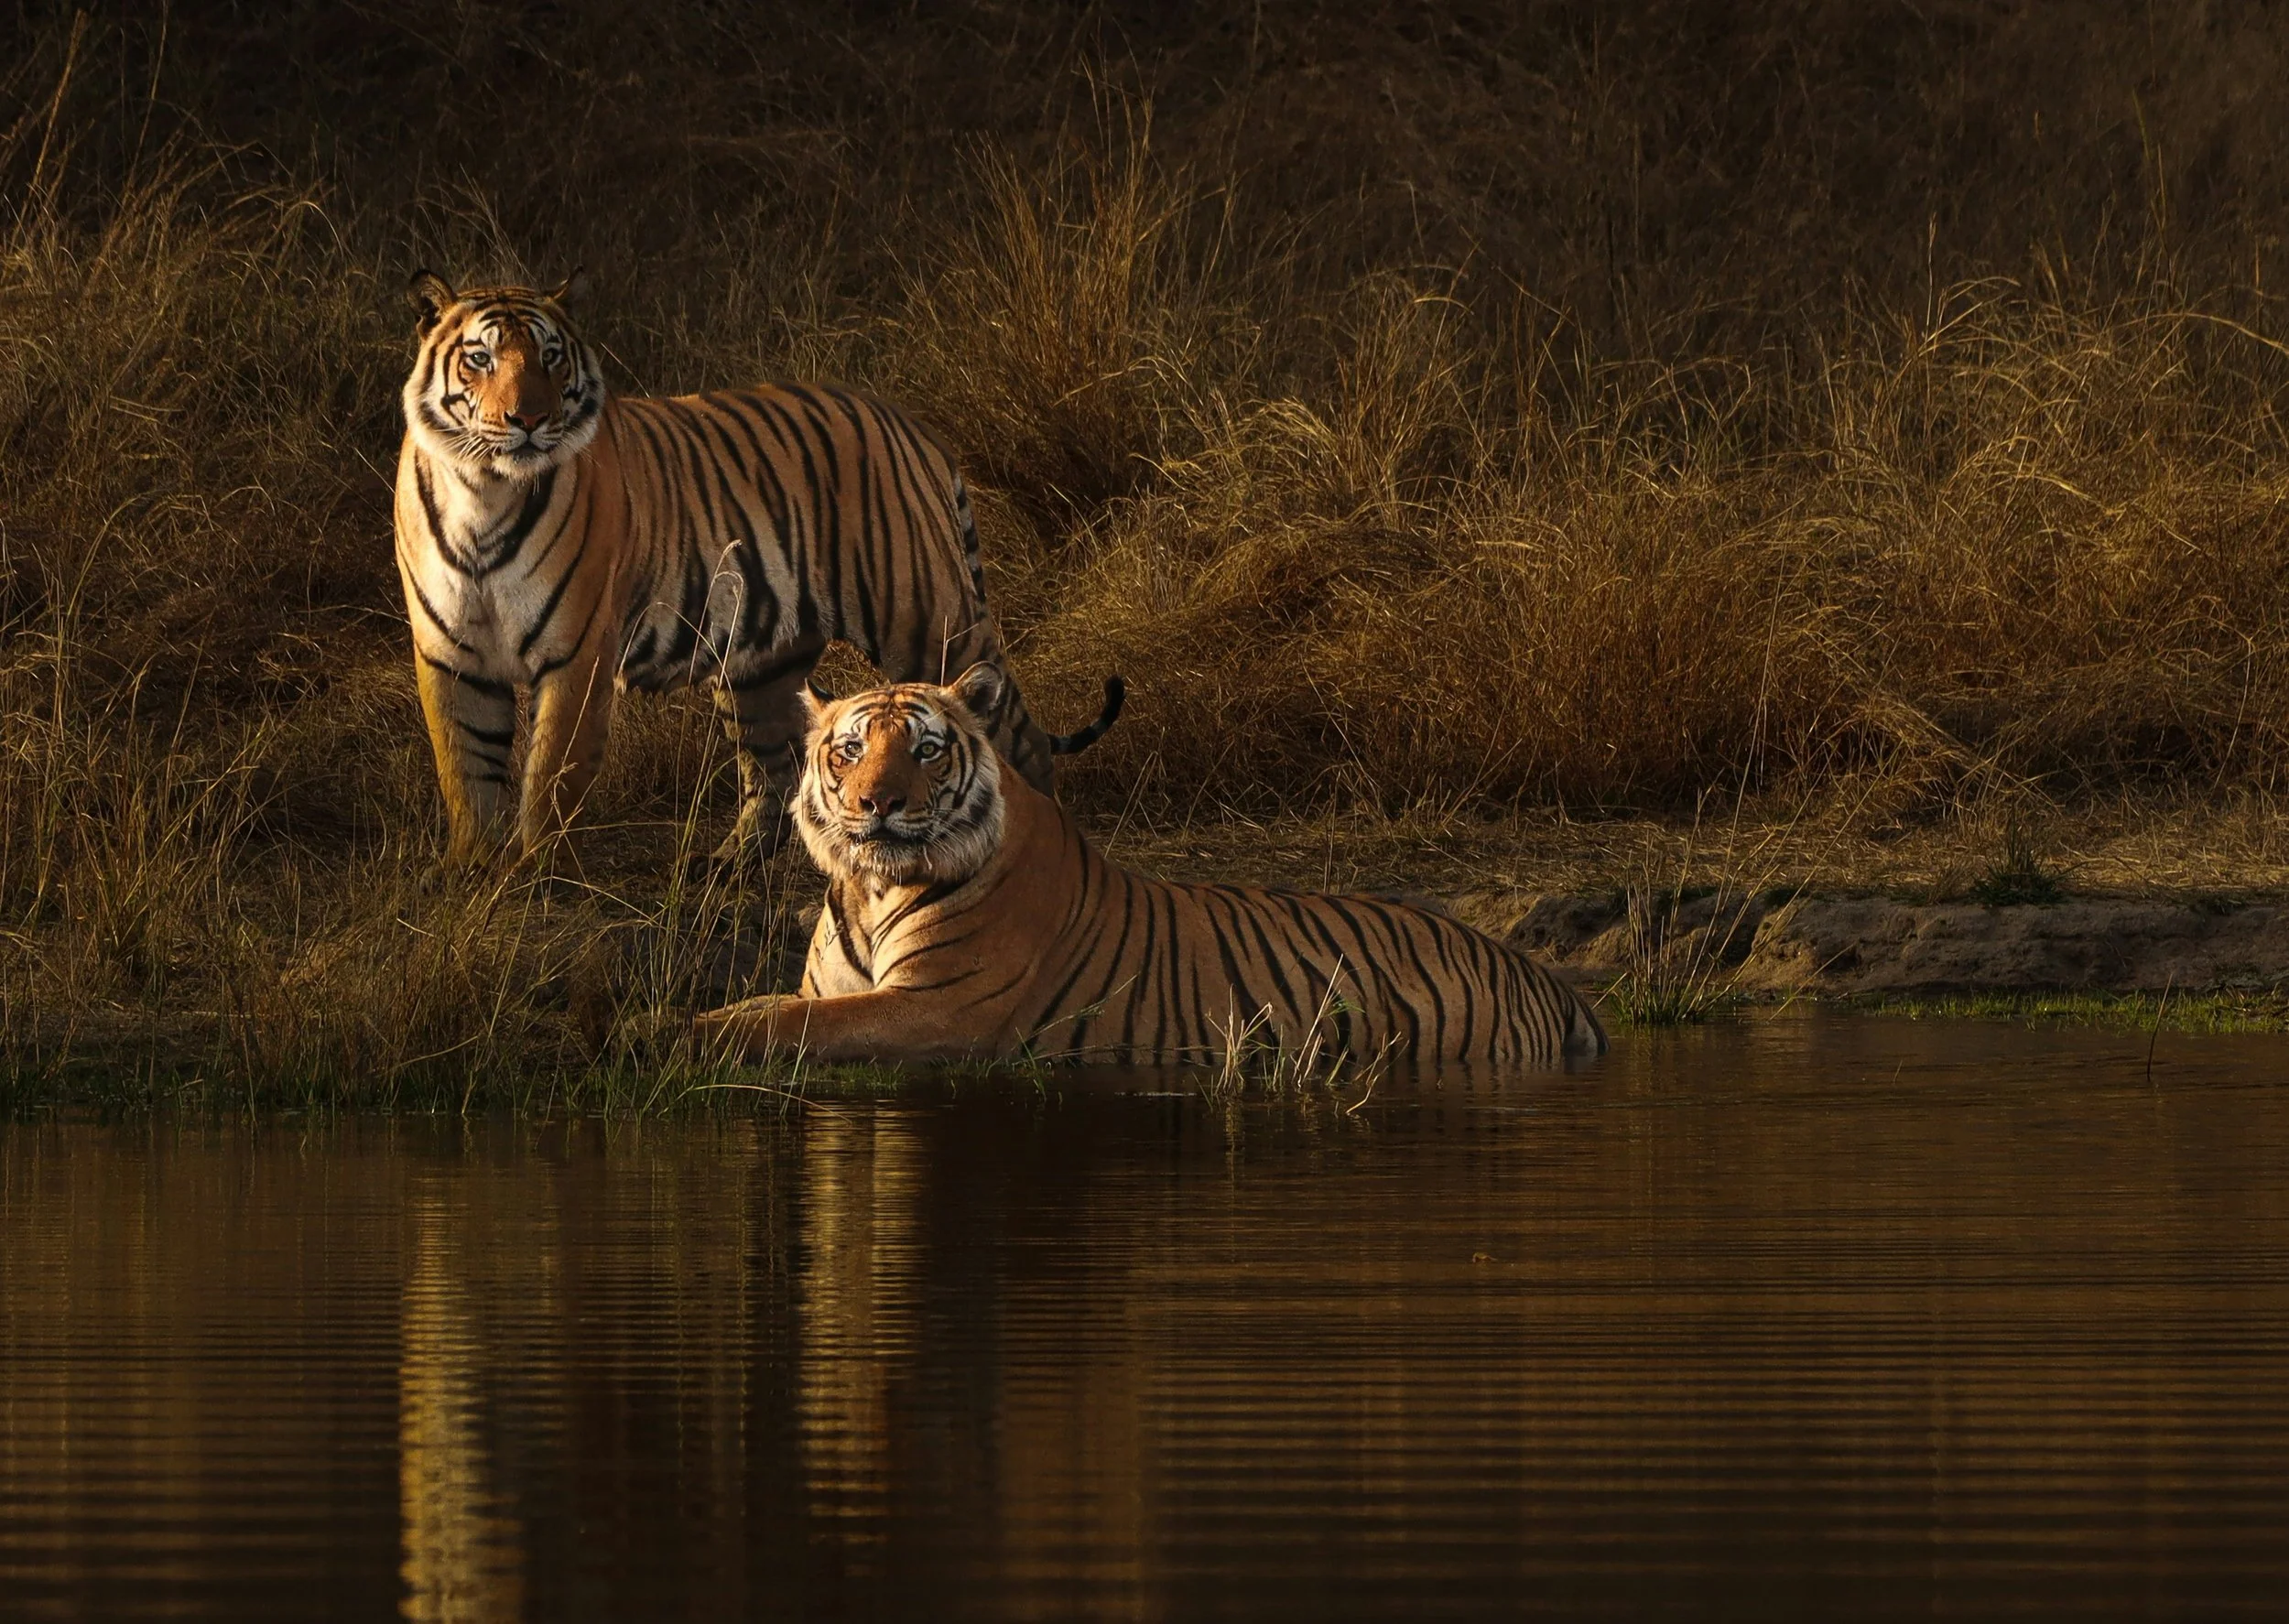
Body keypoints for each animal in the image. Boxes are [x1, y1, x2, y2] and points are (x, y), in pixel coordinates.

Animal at [393, 270, 1119, 872]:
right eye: (480, 357)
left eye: (551, 356)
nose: (528, 420)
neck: (484, 493)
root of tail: (909, 424)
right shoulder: (450, 654)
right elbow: (465, 767)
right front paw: (472, 871)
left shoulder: (576, 656)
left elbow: (550, 774)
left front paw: (534, 870)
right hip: (760, 663)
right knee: (776, 768)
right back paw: (730, 864)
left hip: (930, 622)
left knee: (1016, 737)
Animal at [692, 667, 1609, 1067]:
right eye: (849, 750)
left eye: (924, 749)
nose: (876, 803)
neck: (871, 886)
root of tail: (1541, 973)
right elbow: (770, 1007)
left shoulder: (936, 1010)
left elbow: (782, 1024)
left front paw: (665, 1032)